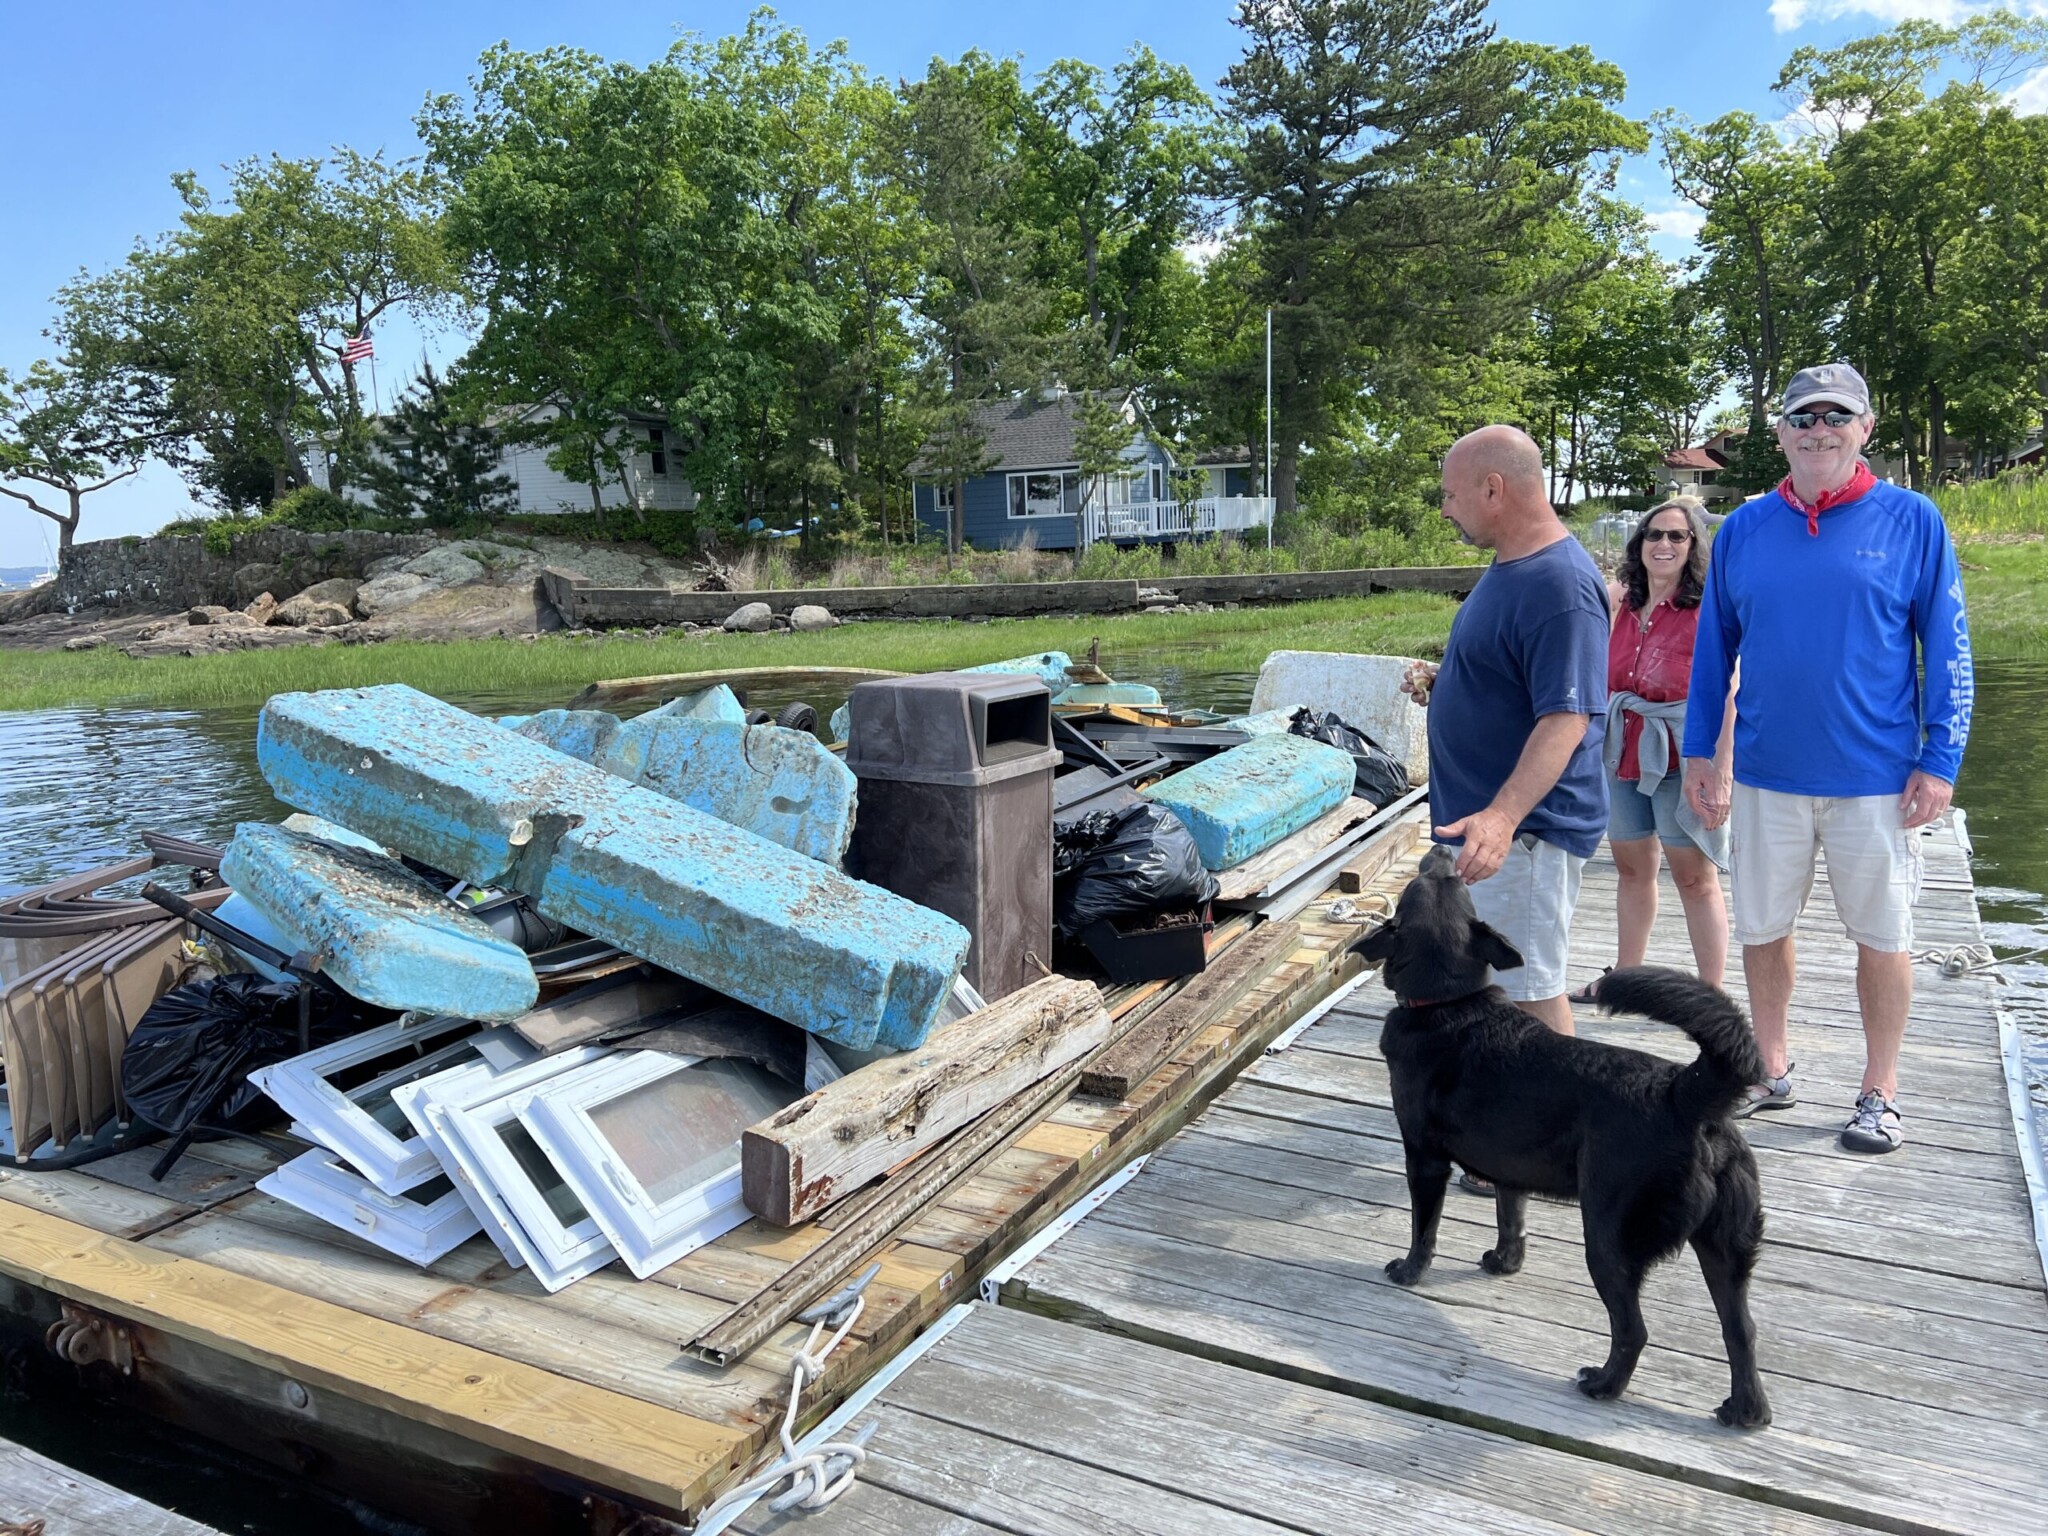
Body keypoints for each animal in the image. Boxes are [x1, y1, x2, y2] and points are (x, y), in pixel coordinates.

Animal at [1351, 843, 1769, 1433]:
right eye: (1448, 883)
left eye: (1424, 883)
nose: (1443, 849)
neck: (1447, 1002)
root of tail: (1682, 1093)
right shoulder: (1509, 1169)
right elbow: (1511, 1219)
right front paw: (1503, 1263)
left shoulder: (1425, 1158)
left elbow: (1423, 1229)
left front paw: (1410, 1271)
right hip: (1724, 1247)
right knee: (1741, 1330)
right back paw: (1746, 1411)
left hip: (1609, 1238)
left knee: (1633, 1329)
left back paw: (1603, 1385)